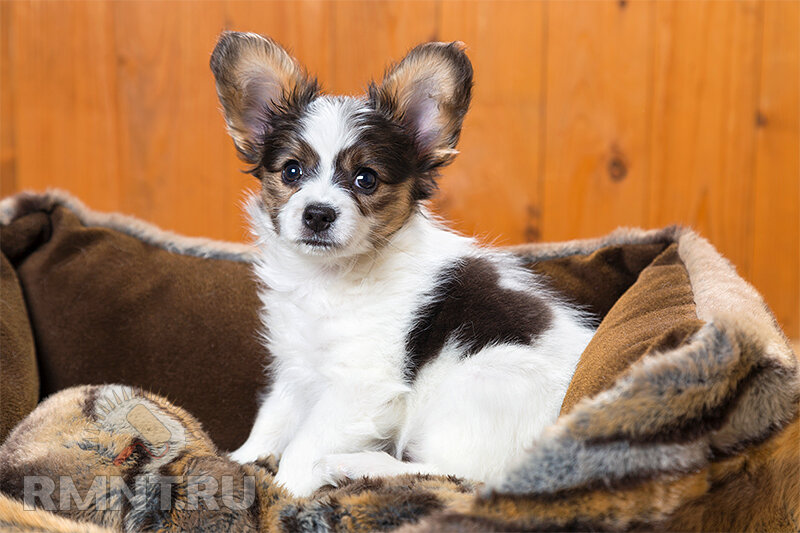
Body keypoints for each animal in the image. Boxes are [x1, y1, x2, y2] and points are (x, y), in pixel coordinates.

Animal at [209, 32, 596, 498]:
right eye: (291, 171)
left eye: (366, 179)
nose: (318, 214)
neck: (329, 279)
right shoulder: (297, 367)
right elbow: (272, 419)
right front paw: (237, 461)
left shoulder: (360, 386)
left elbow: (303, 446)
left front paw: (285, 491)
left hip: (470, 396)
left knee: (456, 476)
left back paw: (352, 465)